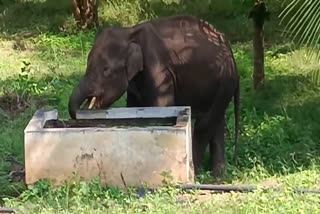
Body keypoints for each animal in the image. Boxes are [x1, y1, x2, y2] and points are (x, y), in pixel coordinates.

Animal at [69, 15, 241, 178]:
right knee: (216, 121)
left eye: (106, 70)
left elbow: (162, 105)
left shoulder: (158, 66)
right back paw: (218, 175)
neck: (129, 33)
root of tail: (229, 48)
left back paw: (197, 173)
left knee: (206, 122)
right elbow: (133, 107)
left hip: (225, 79)